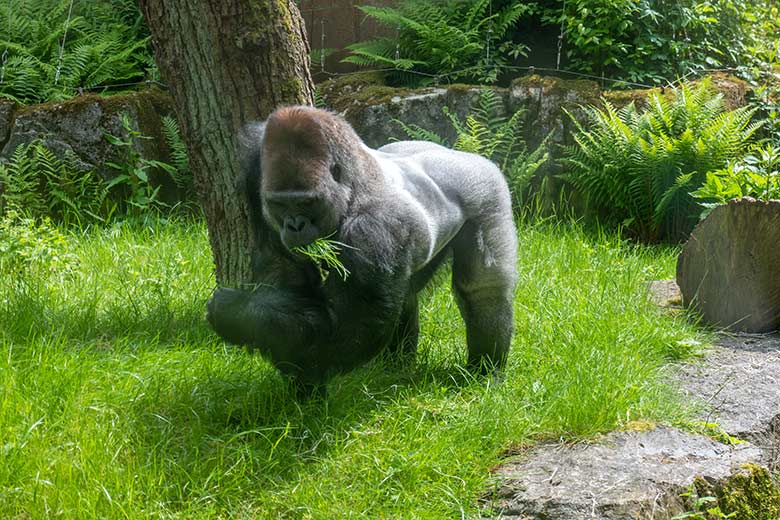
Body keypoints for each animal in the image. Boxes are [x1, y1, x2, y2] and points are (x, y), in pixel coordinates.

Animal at [207, 106, 516, 398]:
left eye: (306, 202)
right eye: (280, 204)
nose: (294, 225)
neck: (353, 183)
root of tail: (461, 153)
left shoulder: (375, 228)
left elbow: (347, 332)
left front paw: (235, 312)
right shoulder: (254, 166)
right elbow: (284, 274)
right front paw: (304, 390)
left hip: (487, 188)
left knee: (483, 290)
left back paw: (486, 368)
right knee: (408, 294)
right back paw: (395, 366)